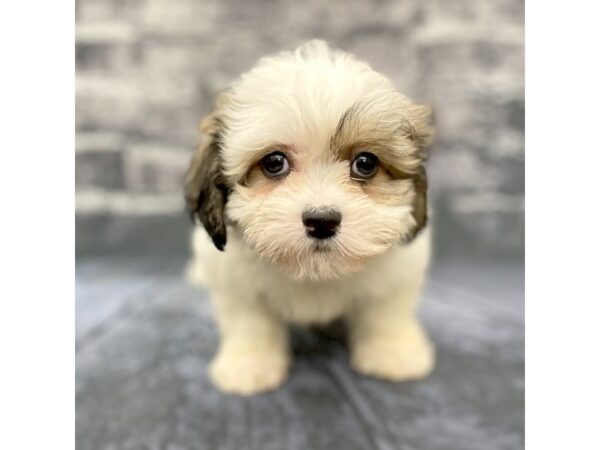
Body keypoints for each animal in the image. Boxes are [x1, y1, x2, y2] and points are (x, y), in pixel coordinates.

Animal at [185, 40, 434, 396]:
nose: (322, 221)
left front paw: (393, 354)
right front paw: (249, 366)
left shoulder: (397, 275)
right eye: (274, 162)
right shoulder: (235, 283)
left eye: (365, 163)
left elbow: (385, 314)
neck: (314, 273)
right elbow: (250, 323)